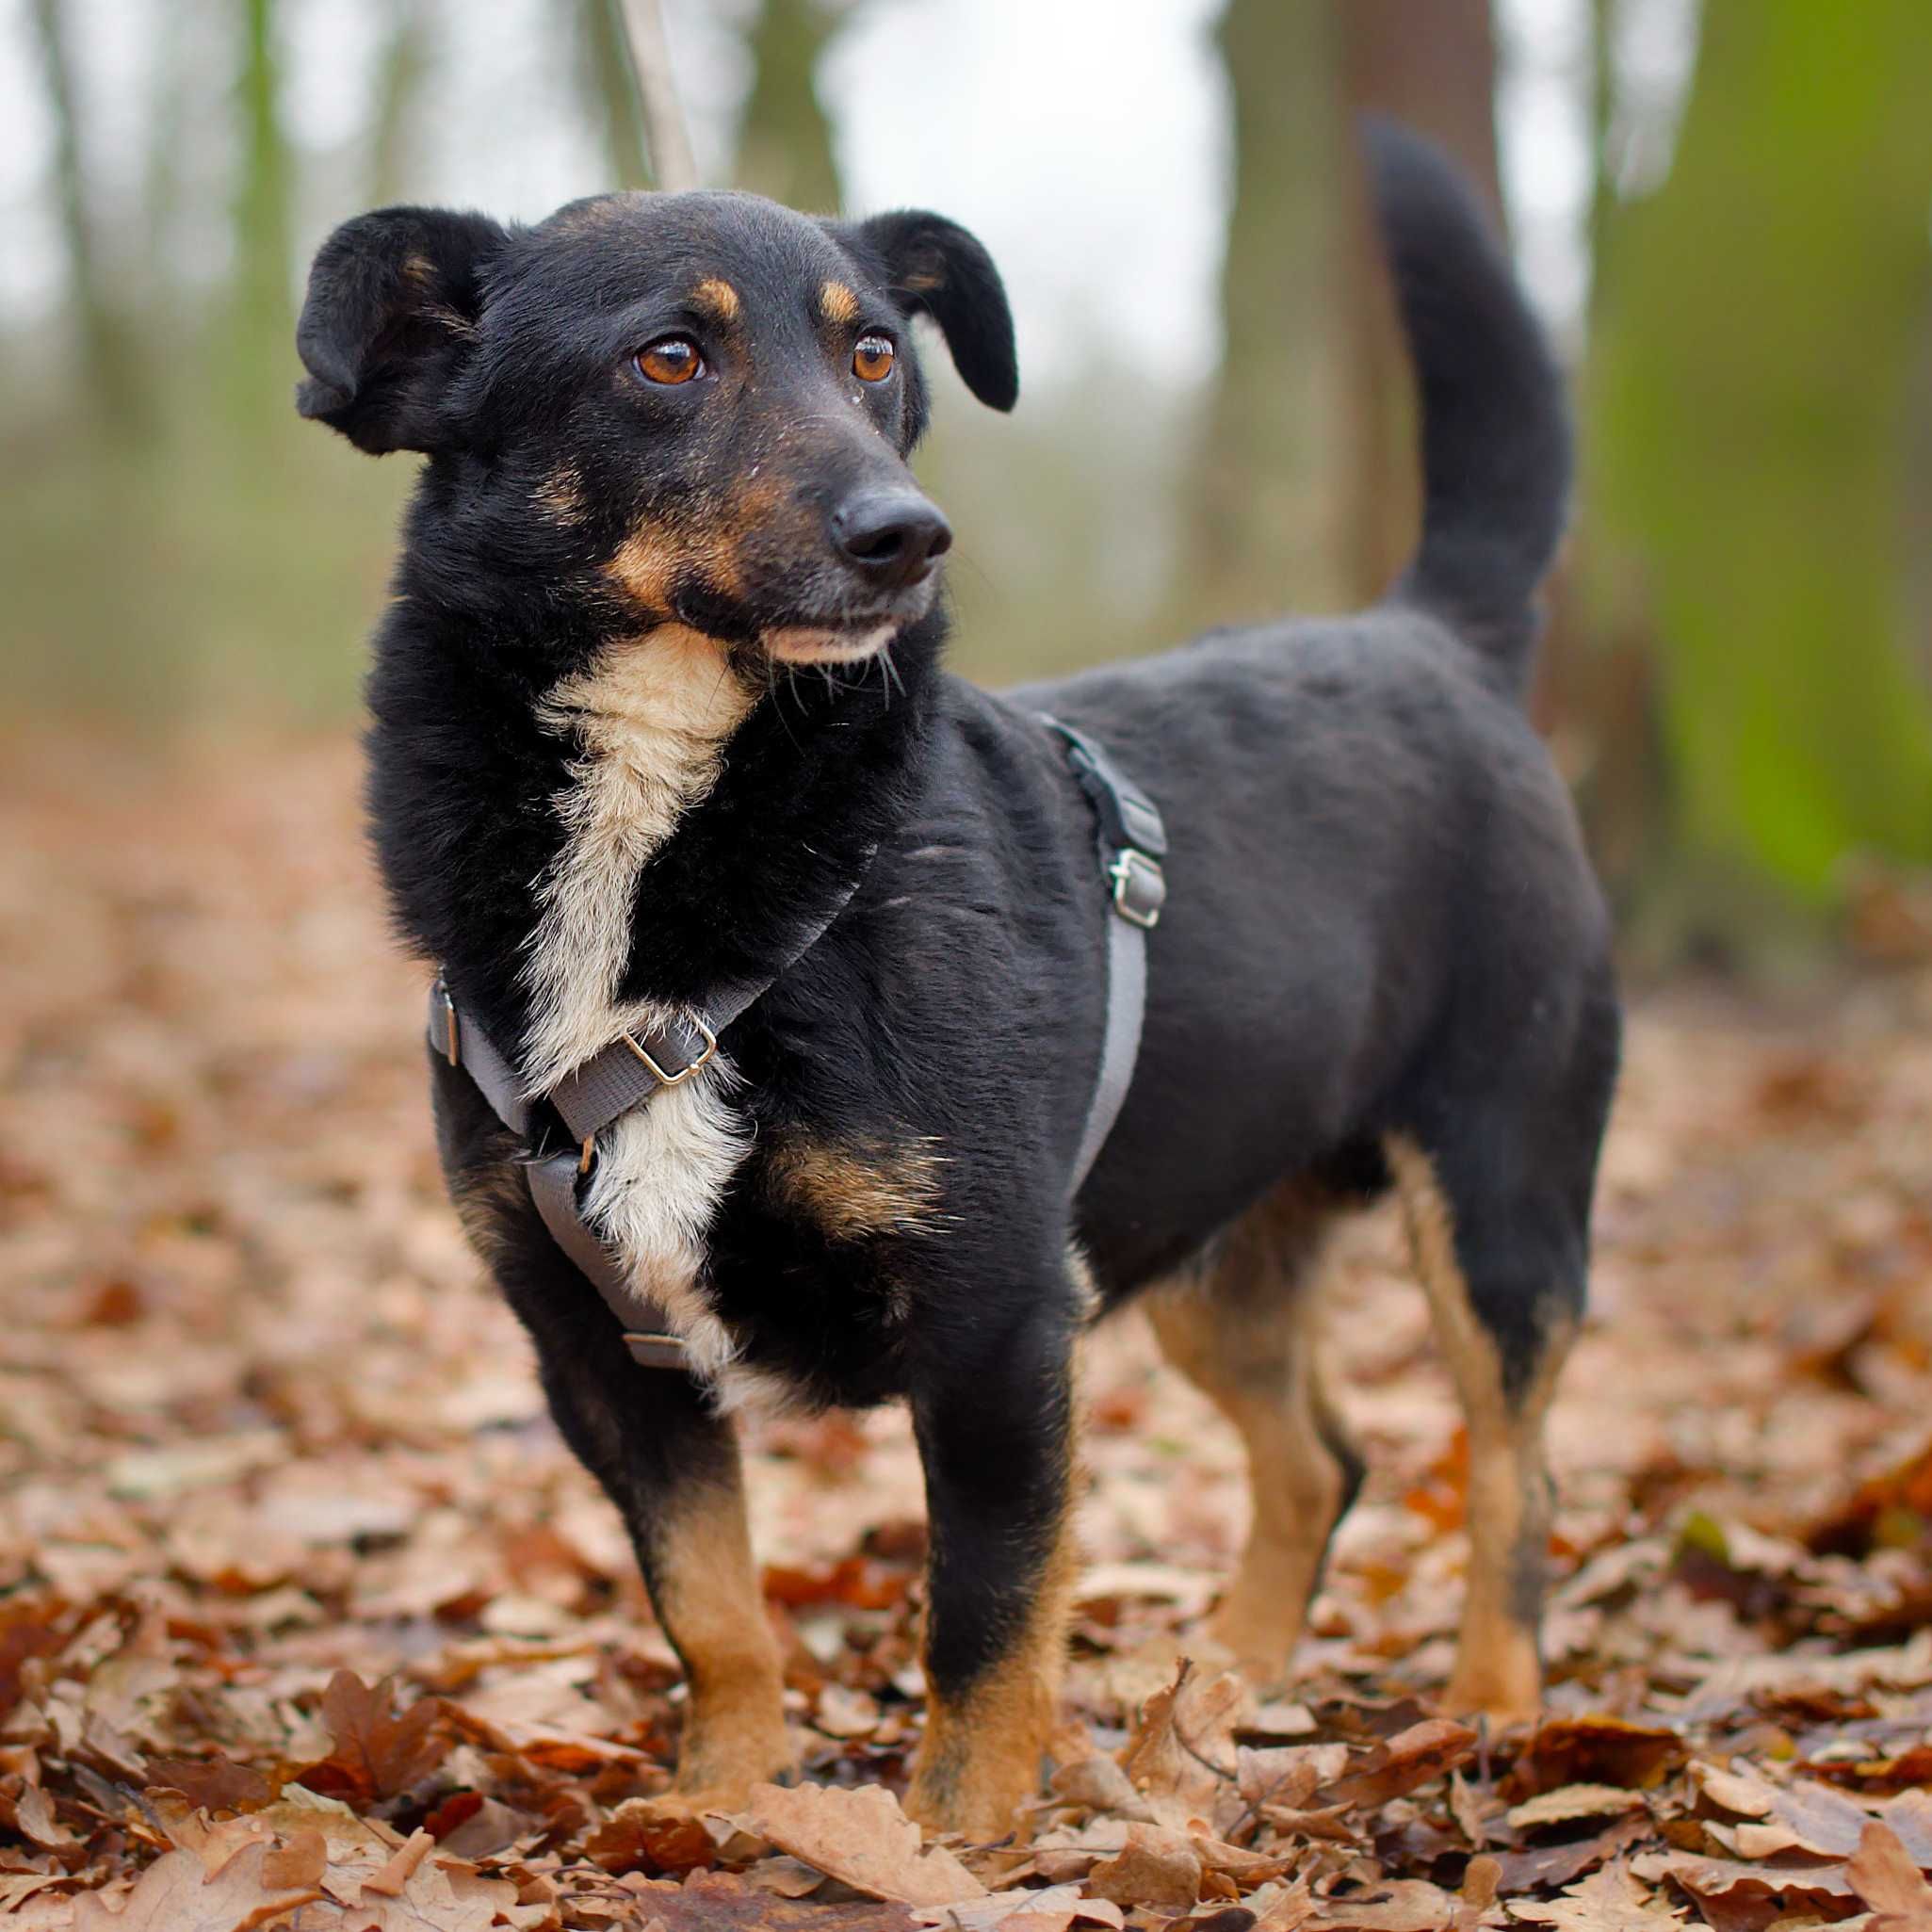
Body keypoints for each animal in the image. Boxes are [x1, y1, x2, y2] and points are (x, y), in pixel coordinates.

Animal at [297, 121, 1615, 1839]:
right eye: (669, 358)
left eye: (874, 358)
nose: (907, 535)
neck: (679, 823)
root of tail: (1434, 640)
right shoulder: (597, 1352)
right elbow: (710, 1608)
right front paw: (718, 1800)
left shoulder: (997, 1316)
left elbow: (984, 1617)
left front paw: (959, 1839)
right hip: (1210, 1248)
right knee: (1320, 1460)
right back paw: (1221, 1697)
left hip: (1497, 1206)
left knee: (1515, 1476)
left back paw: (1486, 1710)